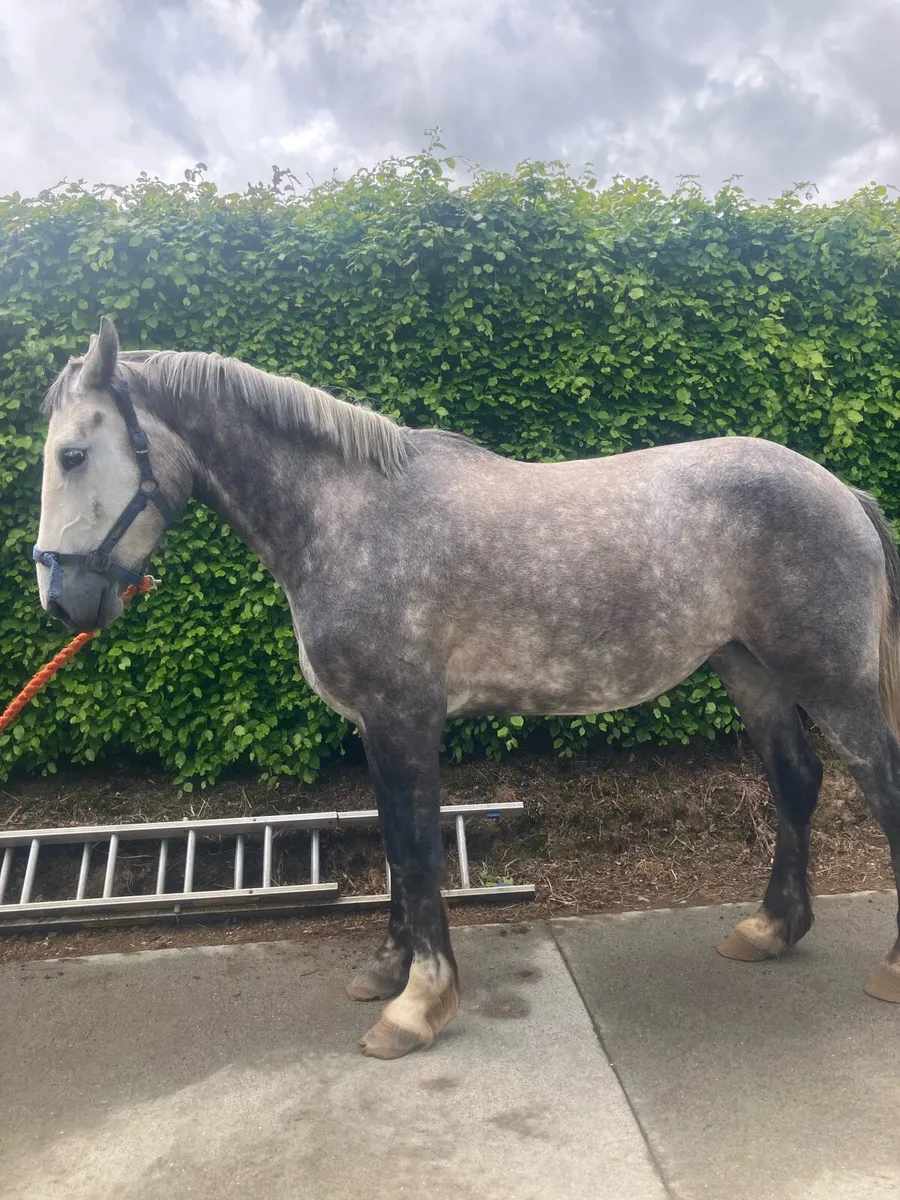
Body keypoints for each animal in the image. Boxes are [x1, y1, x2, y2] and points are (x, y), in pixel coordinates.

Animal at [33, 317, 900, 1058]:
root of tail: (842, 492)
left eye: (71, 455)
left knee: (880, 787)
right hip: (750, 669)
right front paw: (389, 967)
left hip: (833, 681)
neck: (348, 517)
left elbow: (417, 851)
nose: (60, 601)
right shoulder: (376, 726)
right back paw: (770, 929)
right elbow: (391, 842)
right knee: (796, 779)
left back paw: (885, 965)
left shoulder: (404, 718)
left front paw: (417, 1006)